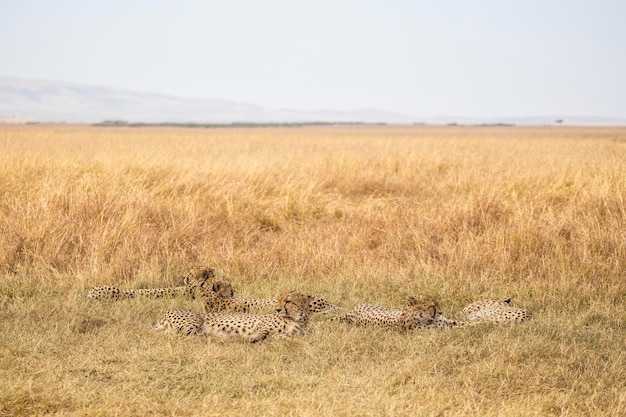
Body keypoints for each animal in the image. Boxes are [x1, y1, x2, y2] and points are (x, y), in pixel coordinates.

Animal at [156, 290, 312, 342]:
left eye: (288, 301)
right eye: (279, 300)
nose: (277, 309)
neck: (296, 318)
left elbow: (284, 336)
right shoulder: (261, 326)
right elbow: (262, 332)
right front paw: (255, 338)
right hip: (193, 323)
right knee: (183, 334)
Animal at [330, 294, 470, 330]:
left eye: (437, 303)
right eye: (432, 306)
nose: (441, 312)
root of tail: (352, 311)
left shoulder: (449, 322)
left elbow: (464, 323)